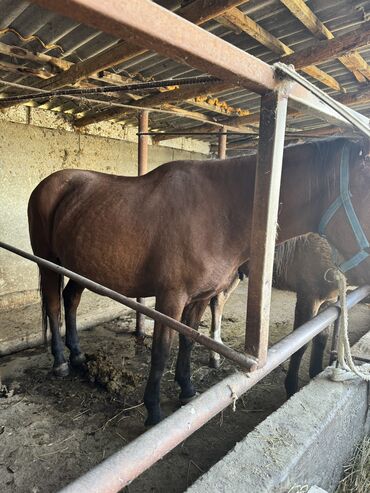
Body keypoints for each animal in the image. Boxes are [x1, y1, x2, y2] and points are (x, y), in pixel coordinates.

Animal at [208, 233, 342, 394]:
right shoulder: (308, 297)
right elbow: (302, 341)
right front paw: (292, 387)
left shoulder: (329, 300)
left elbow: (321, 338)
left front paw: (316, 372)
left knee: (219, 302)